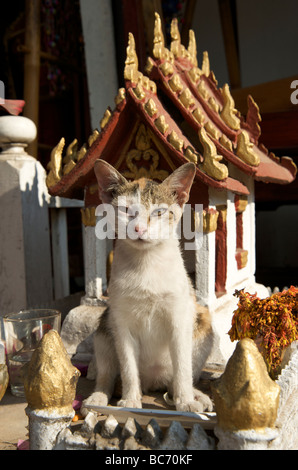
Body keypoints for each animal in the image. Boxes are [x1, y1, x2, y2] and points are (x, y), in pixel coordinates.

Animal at [81, 160, 214, 414]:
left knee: (177, 378)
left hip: (202, 322)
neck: (147, 263)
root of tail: (153, 382)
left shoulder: (180, 319)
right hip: (104, 329)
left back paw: (193, 394)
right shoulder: (121, 323)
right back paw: (98, 397)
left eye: (159, 212)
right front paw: (131, 400)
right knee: (107, 374)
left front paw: (185, 400)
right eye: (126, 211)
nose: (139, 229)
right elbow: (128, 367)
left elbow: (183, 368)